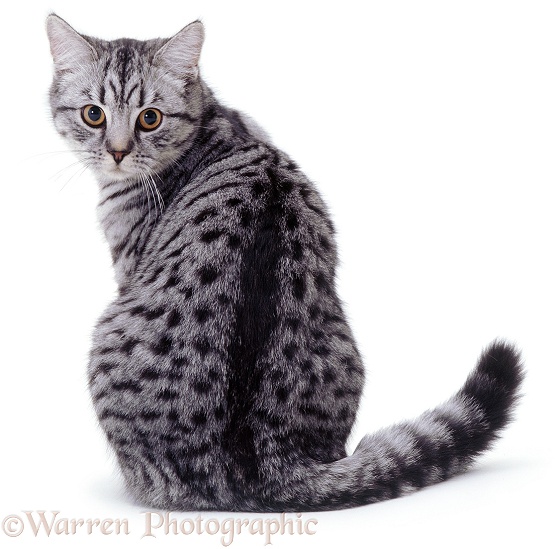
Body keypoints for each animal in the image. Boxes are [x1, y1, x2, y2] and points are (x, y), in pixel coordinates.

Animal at [46, 11, 524, 510]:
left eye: (150, 118)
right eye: (93, 114)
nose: (118, 151)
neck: (213, 127)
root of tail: (262, 469)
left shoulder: (128, 266)